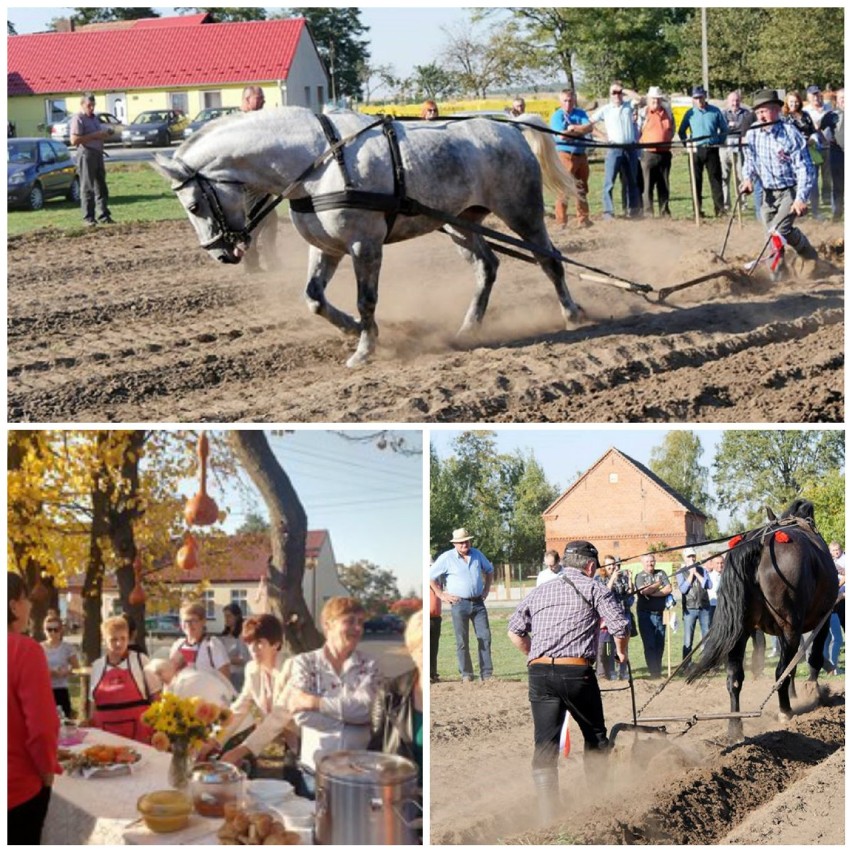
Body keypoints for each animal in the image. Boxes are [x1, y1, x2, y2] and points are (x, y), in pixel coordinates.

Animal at [684, 500, 840, 740]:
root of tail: (760, 543)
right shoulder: (822, 618)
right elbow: (811, 659)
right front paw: (813, 690)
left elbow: (793, 665)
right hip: (790, 627)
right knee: (780, 671)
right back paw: (785, 711)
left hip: (741, 631)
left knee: (734, 678)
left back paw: (735, 727)